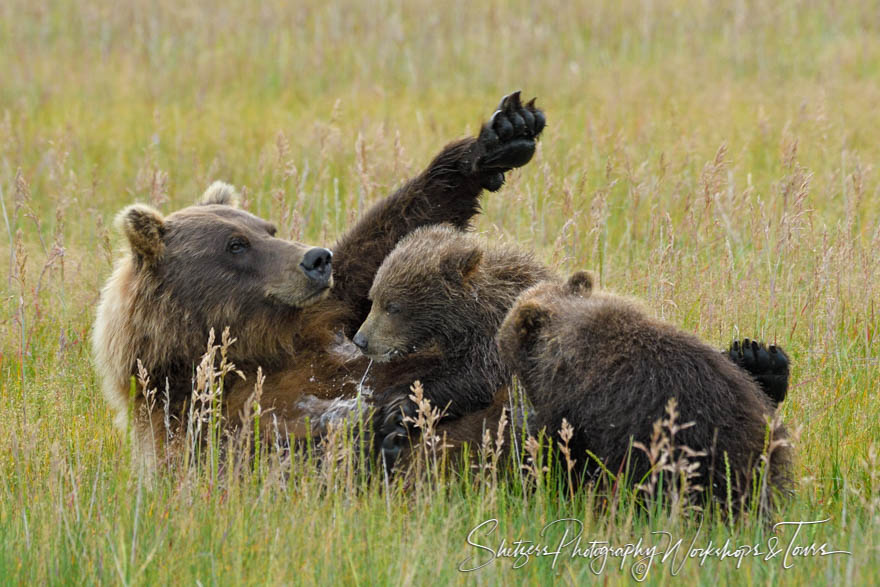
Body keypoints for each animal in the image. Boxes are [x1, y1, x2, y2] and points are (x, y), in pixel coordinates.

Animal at [91, 93, 544, 468]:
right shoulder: (201, 417)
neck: (254, 350)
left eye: (267, 228)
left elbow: (379, 247)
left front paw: (504, 134)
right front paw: (381, 428)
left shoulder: (327, 321)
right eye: (235, 245)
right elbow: (276, 452)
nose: (316, 258)